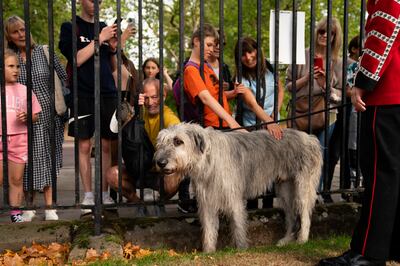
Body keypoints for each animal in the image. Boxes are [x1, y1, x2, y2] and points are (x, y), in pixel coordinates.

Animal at [153, 123, 322, 252]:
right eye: (161, 143)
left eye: (178, 141)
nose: (160, 163)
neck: (208, 158)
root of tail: (310, 138)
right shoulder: (207, 201)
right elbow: (209, 229)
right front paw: (208, 252)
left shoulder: (234, 198)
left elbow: (238, 225)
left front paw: (241, 248)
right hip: (285, 191)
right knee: (291, 216)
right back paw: (286, 240)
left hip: (302, 188)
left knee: (305, 215)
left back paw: (302, 240)